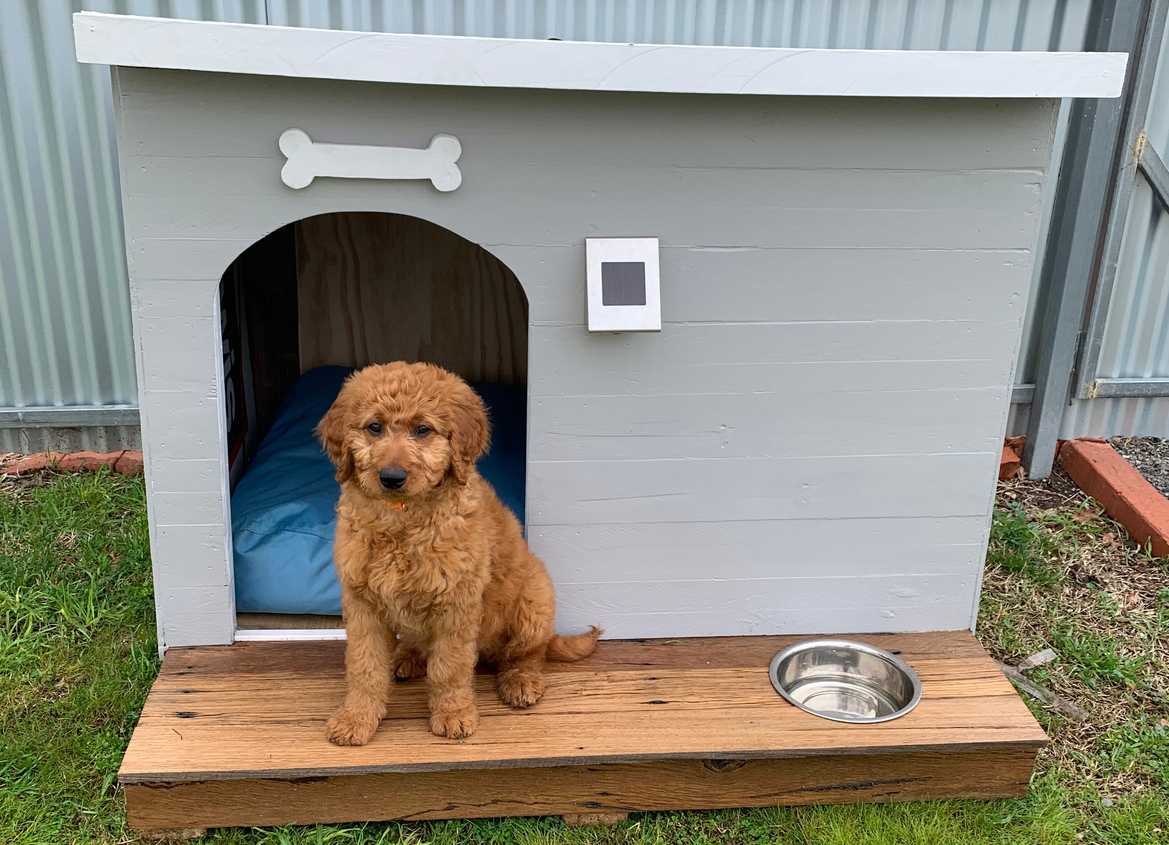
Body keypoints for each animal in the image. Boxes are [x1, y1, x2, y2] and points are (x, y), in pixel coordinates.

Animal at [315, 359, 598, 743]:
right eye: (374, 427)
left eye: (422, 430)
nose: (392, 477)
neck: (402, 517)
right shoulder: (362, 603)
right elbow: (365, 667)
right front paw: (356, 719)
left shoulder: (457, 603)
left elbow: (449, 667)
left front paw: (452, 714)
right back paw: (406, 657)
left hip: (534, 601)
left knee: (526, 654)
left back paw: (521, 682)